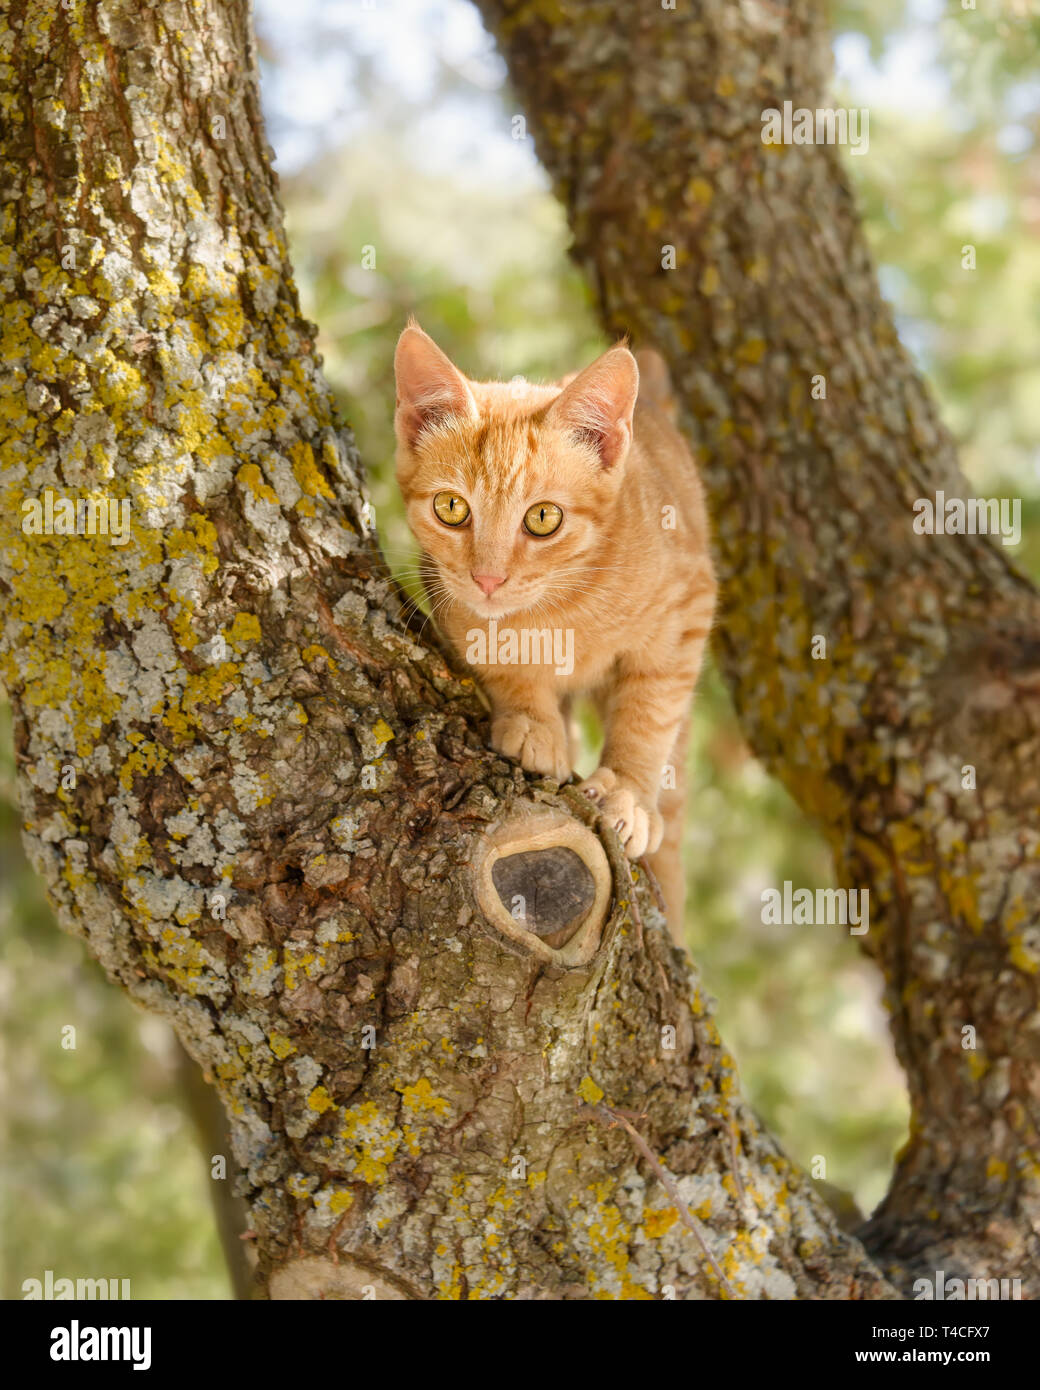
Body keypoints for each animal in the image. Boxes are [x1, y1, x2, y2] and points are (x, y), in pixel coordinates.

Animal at [392, 319, 717, 939]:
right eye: (451, 508)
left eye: (543, 518)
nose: (488, 577)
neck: (561, 608)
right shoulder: (453, 601)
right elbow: (498, 655)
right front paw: (534, 723)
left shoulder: (689, 607)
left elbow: (649, 714)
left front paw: (627, 790)